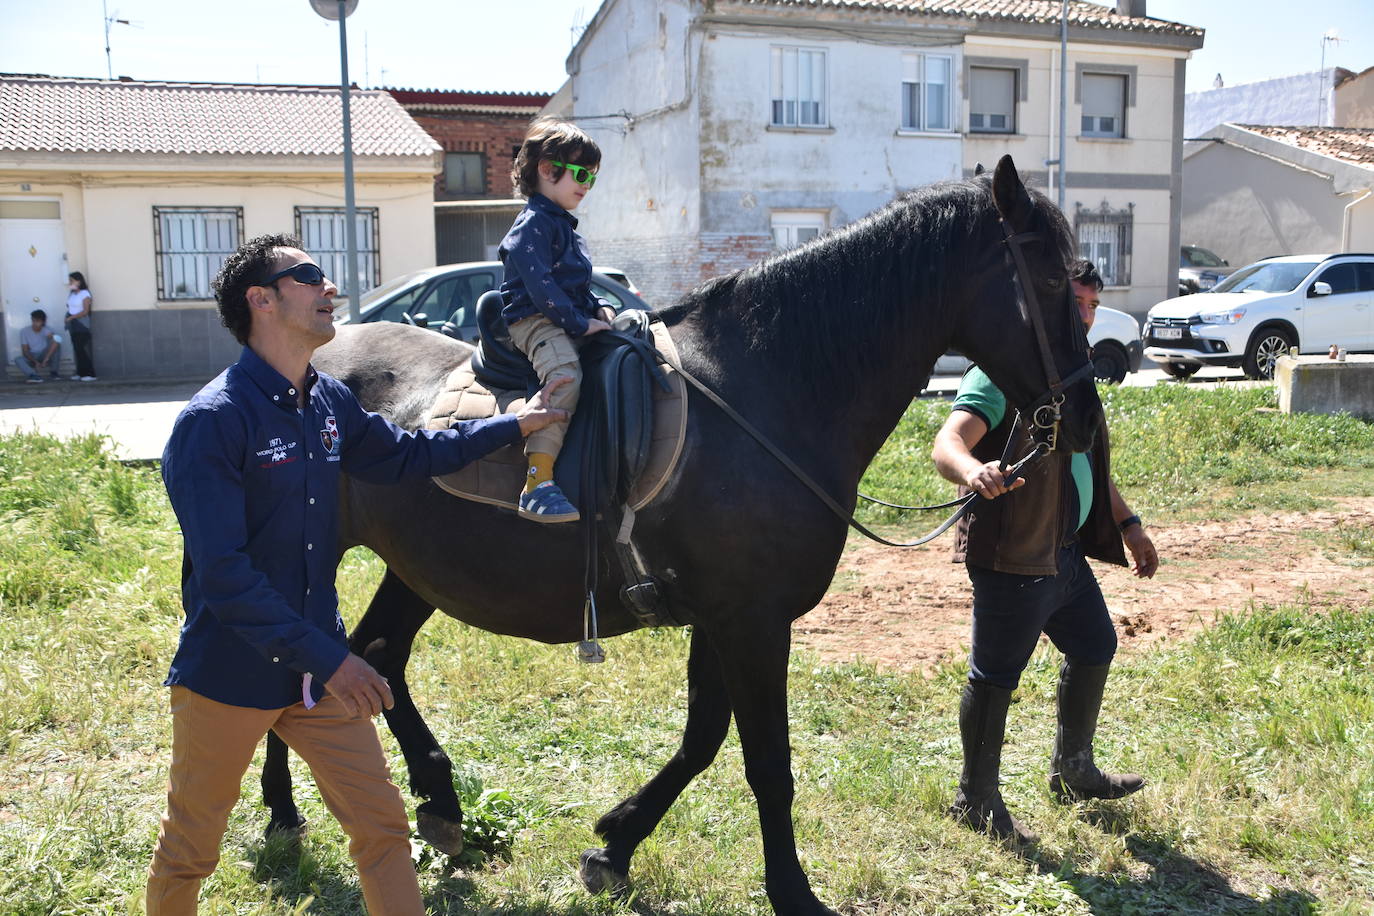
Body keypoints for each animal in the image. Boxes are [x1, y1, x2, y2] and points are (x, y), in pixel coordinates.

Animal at [255, 159, 1093, 916]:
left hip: (417, 568)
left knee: (370, 656)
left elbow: (702, 740)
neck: (770, 392)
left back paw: (429, 801)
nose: (1082, 415)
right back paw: (291, 810)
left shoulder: (721, 620)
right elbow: (766, 762)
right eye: (1054, 280)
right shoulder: (752, 623)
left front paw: (613, 846)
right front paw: (793, 893)